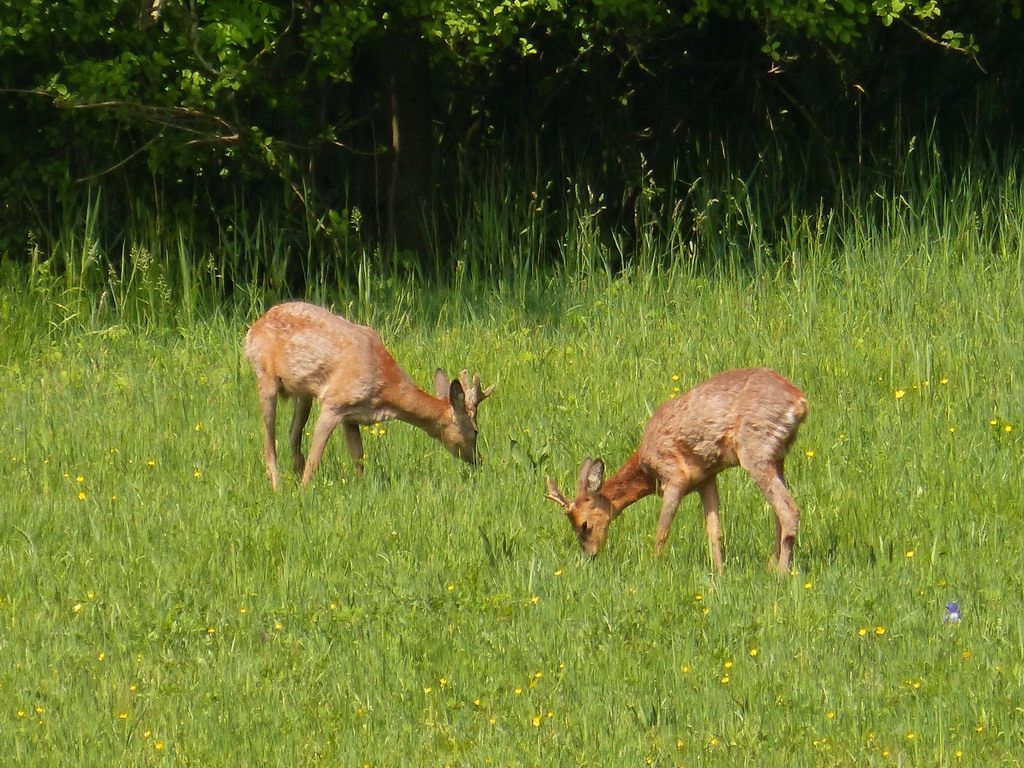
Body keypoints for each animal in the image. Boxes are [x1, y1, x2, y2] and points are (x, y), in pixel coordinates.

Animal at [243, 303, 491, 489]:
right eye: (475, 430)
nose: (478, 460)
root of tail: (253, 328)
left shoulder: (351, 416)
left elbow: (358, 457)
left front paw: (360, 489)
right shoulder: (333, 403)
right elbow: (316, 457)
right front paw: (304, 493)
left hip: (302, 393)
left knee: (292, 434)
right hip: (265, 378)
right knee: (269, 439)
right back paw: (278, 486)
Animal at [544, 370, 806, 573]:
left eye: (583, 525)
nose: (591, 555)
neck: (647, 468)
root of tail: (800, 401)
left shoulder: (674, 476)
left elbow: (662, 529)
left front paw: (653, 567)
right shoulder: (706, 478)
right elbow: (714, 530)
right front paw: (719, 573)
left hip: (755, 450)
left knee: (789, 509)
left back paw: (781, 572)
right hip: (777, 456)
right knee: (779, 511)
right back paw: (772, 565)